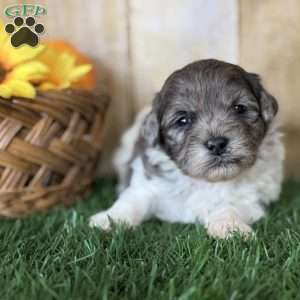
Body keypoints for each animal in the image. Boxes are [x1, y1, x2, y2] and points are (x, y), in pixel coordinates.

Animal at [88, 59, 284, 239]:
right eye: (183, 120)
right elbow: (133, 200)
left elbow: (230, 205)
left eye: (239, 108)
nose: (217, 144)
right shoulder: (148, 184)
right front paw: (109, 219)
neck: (206, 181)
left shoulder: (251, 197)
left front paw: (229, 226)